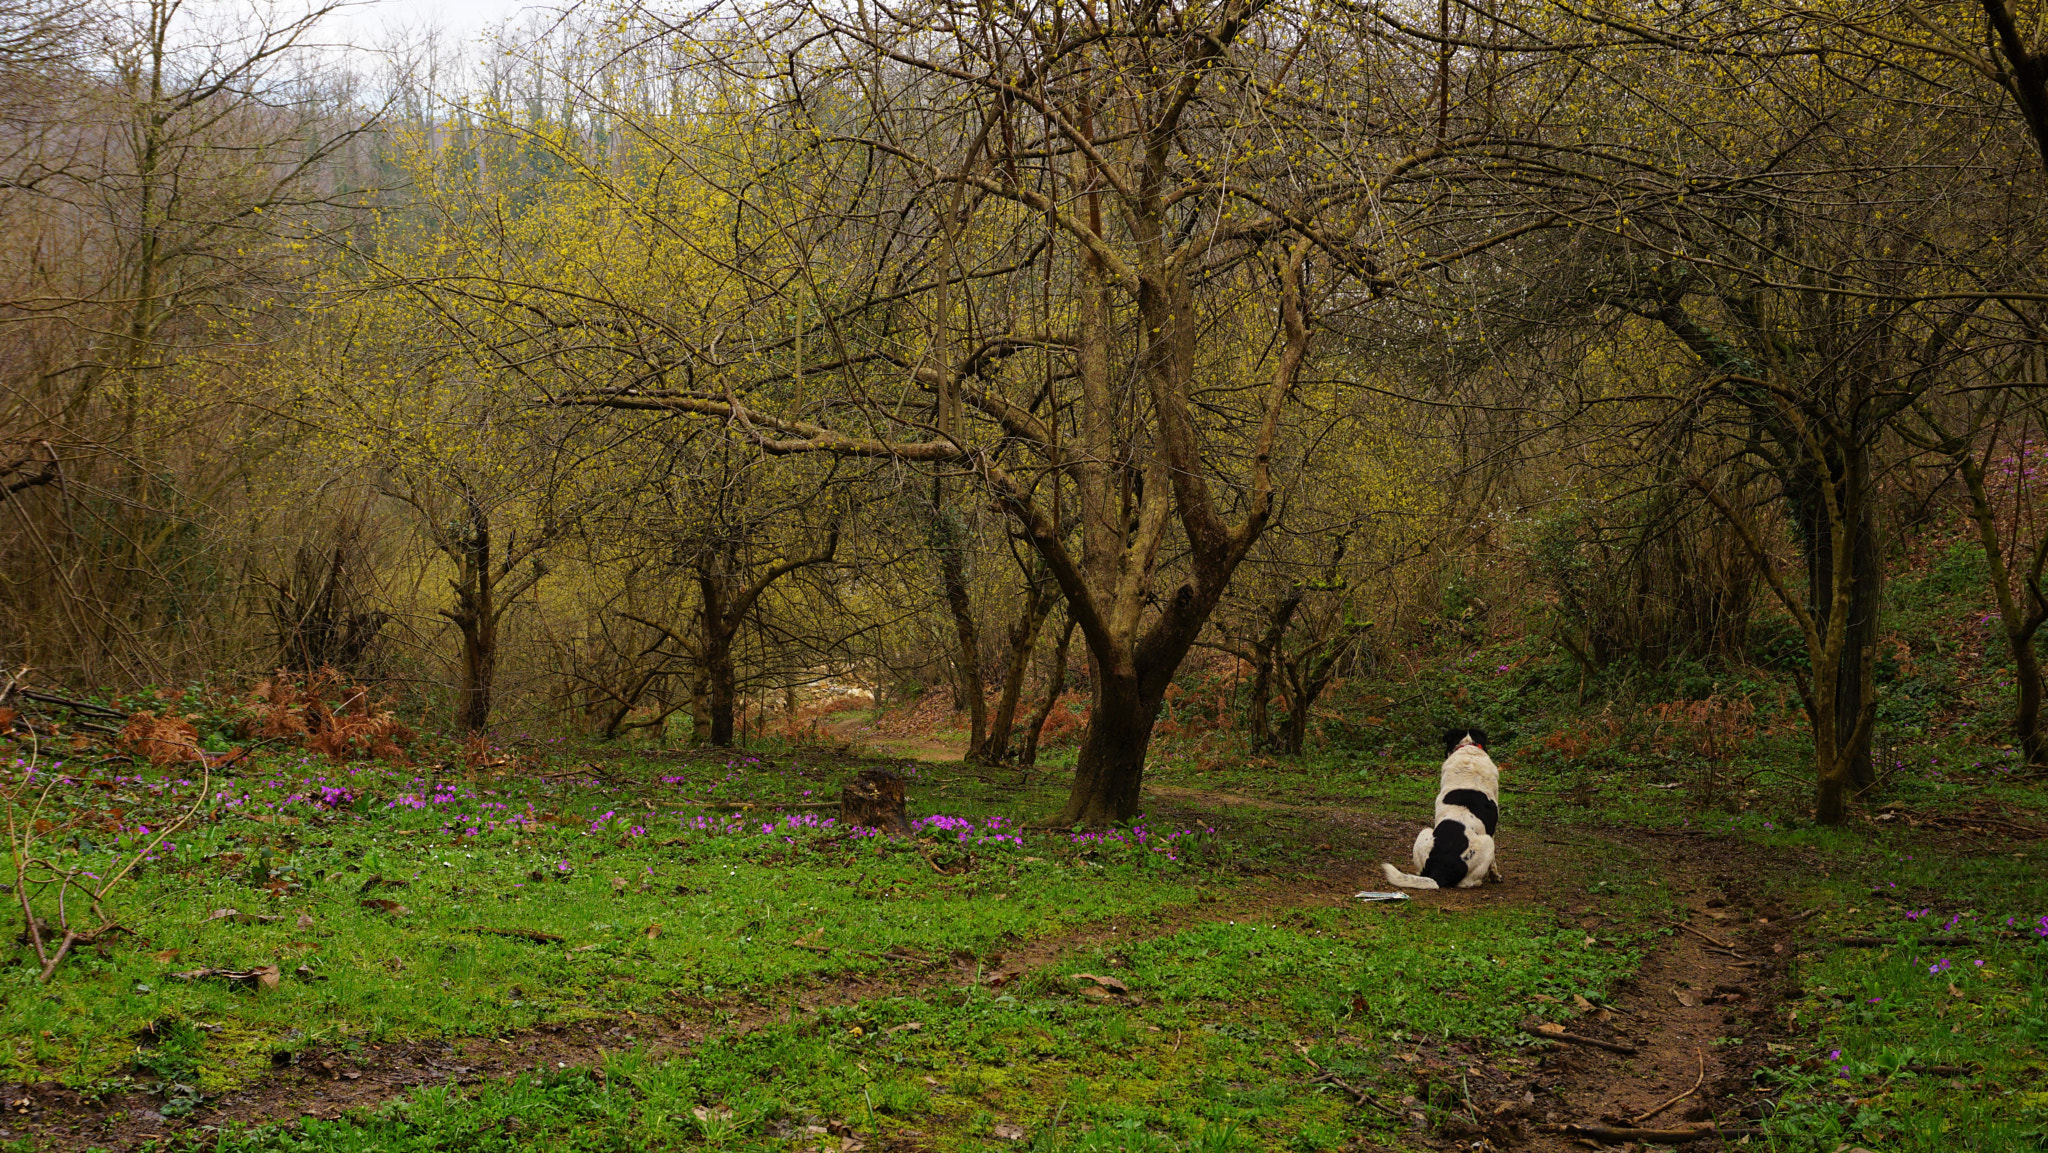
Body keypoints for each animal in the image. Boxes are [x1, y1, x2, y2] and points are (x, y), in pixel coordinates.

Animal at [1384, 729, 1499, 892]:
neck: (1468, 750)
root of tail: (1438, 870)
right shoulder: (1492, 832)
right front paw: (1495, 876)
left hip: (1424, 833)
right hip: (1487, 843)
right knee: (1466, 883)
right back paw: (1478, 882)